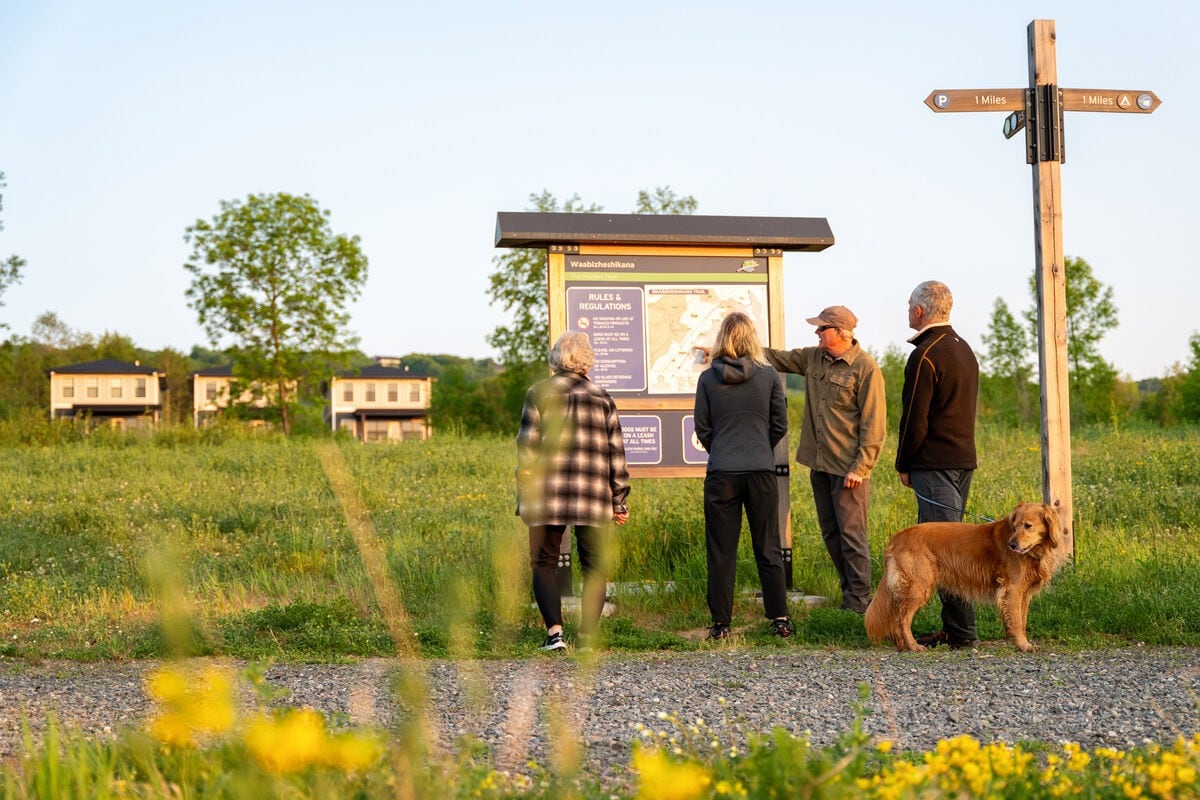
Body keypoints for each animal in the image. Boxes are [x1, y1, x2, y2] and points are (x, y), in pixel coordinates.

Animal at [864, 503, 1070, 652]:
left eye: (1028, 526)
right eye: (1014, 527)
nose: (1012, 545)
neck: (1034, 551)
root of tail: (897, 537)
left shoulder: (1023, 593)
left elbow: (1022, 619)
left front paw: (1019, 642)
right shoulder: (1012, 589)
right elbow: (1017, 621)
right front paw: (1022, 644)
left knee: (897, 618)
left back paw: (902, 645)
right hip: (918, 587)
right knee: (902, 620)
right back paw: (913, 645)